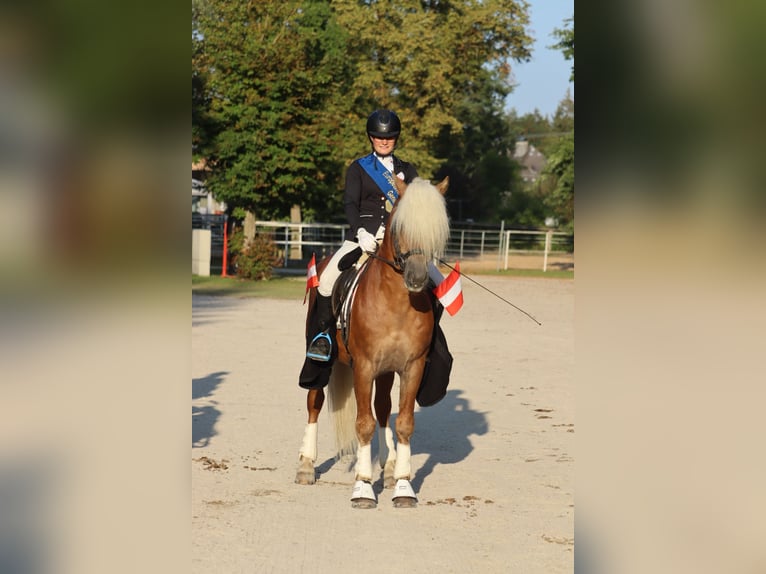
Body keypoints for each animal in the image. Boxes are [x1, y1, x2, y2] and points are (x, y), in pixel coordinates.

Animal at [294, 176, 450, 508]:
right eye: (400, 226)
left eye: (437, 231)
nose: (417, 278)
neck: (396, 301)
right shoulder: (363, 367)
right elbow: (362, 422)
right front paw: (363, 487)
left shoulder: (411, 367)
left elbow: (403, 422)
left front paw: (403, 485)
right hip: (323, 362)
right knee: (315, 402)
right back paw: (306, 465)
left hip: (386, 371)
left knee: (382, 408)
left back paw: (388, 467)